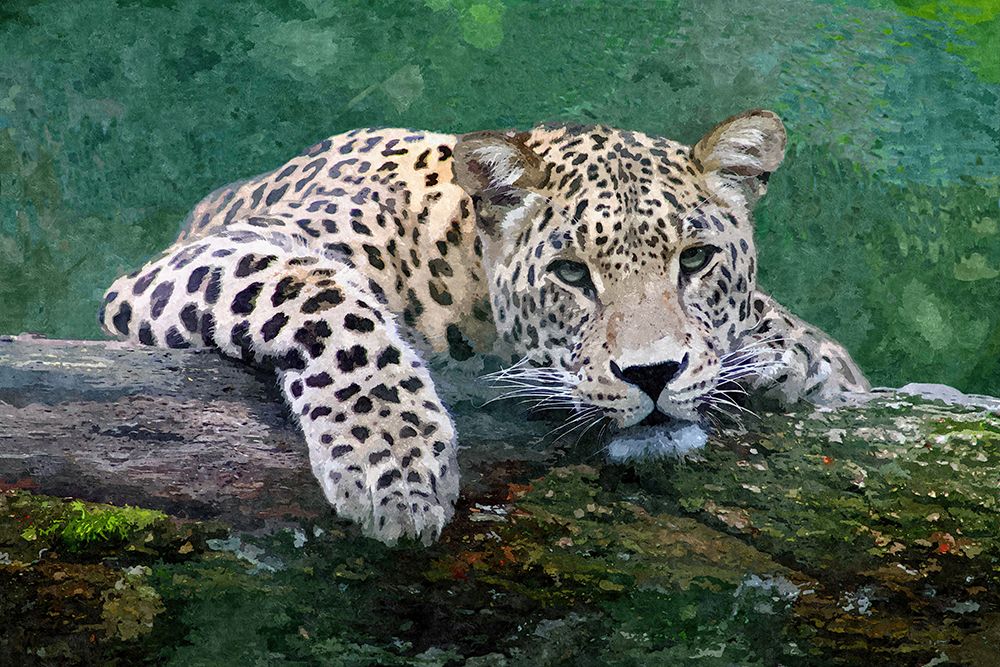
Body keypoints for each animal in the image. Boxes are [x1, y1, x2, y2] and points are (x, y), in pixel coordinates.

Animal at [99, 109, 869, 545]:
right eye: (571, 273)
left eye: (697, 259)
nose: (652, 374)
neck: (462, 272)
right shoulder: (205, 257)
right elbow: (325, 299)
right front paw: (395, 465)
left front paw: (792, 355)